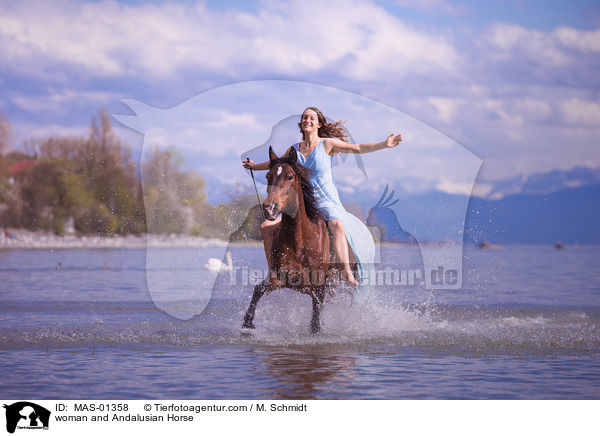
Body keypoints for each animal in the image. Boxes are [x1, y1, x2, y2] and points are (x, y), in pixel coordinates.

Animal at [240, 146, 332, 334]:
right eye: (268, 176)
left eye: (290, 176)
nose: (269, 208)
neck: (300, 243)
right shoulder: (280, 277)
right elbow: (258, 289)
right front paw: (247, 322)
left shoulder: (318, 287)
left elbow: (316, 316)